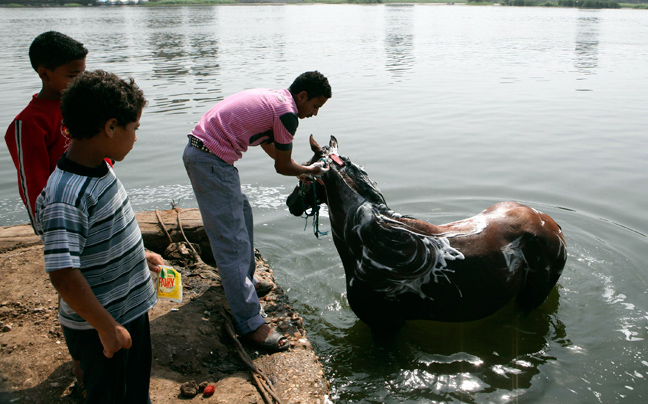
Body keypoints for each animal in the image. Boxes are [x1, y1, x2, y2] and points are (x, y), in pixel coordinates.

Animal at [286, 136, 564, 332]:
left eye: (304, 173)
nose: (290, 203)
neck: (368, 243)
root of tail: (552, 225)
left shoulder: (385, 326)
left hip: (530, 300)